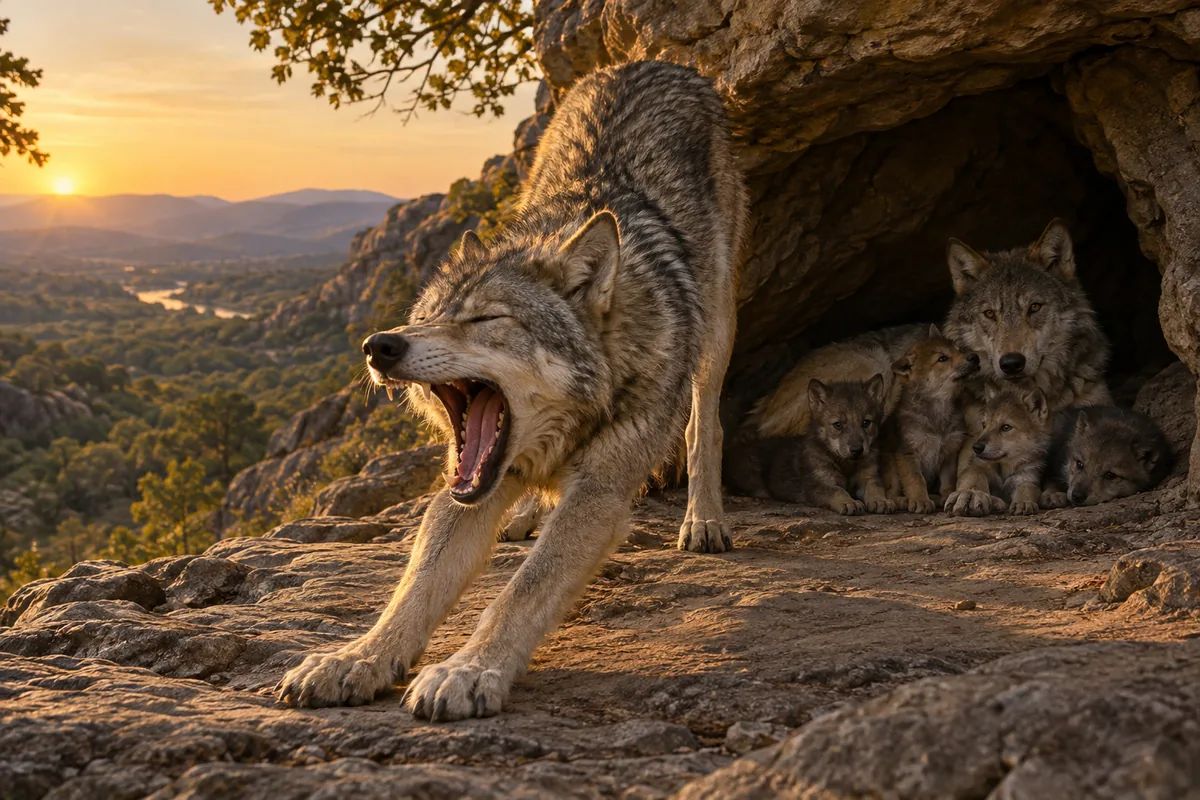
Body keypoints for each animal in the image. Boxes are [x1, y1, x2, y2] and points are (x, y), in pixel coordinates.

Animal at [274, 62, 747, 720]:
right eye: (426, 316)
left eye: (483, 320)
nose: (379, 346)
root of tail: (647, 62)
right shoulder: (463, 486)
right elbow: (414, 588)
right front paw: (358, 658)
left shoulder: (598, 494)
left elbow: (524, 589)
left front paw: (469, 670)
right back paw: (525, 512)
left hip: (718, 324)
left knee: (705, 421)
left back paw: (703, 519)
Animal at [880, 325, 980, 513]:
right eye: (942, 358)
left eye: (959, 350)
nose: (974, 357)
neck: (939, 408)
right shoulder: (908, 452)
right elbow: (916, 480)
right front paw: (920, 501)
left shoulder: (949, 452)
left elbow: (948, 481)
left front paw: (946, 496)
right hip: (890, 463)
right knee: (891, 494)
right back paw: (903, 500)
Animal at [942, 219, 1111, 516]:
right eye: (990, 314)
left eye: (1034, 307)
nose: (1011, 363)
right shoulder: (975, 438)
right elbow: (974, 469)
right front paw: (970, 494)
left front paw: (1052, 493)